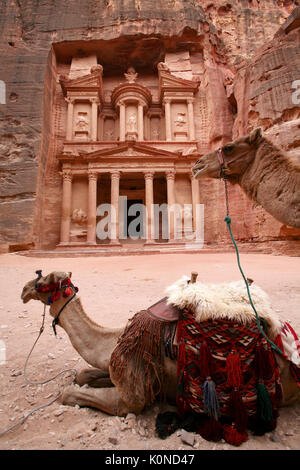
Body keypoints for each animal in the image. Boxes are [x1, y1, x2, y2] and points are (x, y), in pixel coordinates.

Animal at [21, 272, 300, 422]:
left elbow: (69, 394)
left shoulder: (133, 396)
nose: (23, 290)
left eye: (42, 283)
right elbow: (83, 375)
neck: (115, 337)